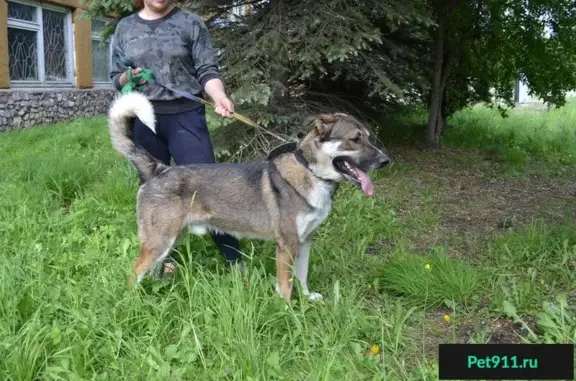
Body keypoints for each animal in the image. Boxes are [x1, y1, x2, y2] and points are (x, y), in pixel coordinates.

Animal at [106, 92, 390, 300]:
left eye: (368, 138)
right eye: (355, 139)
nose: (386, 161)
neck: (311, 173)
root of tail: (158, 169)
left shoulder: (305, 241)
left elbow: (302, 276)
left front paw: (308, 298)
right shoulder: (286, 246)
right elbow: (285, 287)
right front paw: (288, 313)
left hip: (171, 239)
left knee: (152, 270)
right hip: (160, 241)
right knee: (132, 273)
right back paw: (133, 303)